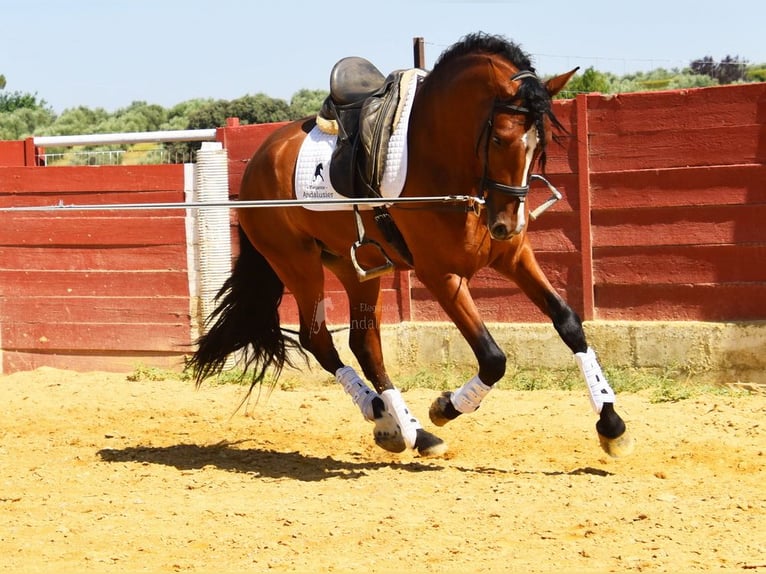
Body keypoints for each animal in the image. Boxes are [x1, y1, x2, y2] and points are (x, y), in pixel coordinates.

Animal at [190, 32, 635, 459]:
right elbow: (493, 357)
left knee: (365, 345)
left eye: (539, 146)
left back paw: (408, 430)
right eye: (499, 139)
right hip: (298, 264)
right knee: (318, 339)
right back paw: (383, 413)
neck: (442, 159)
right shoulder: (440, 275)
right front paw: (447, 407)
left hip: (356, 269)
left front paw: (611, 424)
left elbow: (568, 322)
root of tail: (256, 163)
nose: (507, 224)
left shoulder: (513, 257)